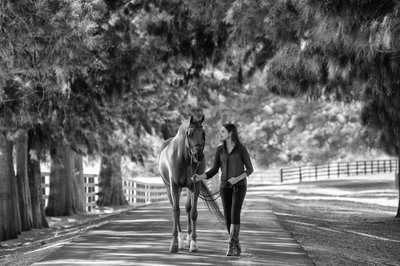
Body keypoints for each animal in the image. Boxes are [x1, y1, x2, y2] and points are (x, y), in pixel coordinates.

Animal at [158, 113, 225, 252]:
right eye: (190, 134)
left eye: (203, 133)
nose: (198, 156)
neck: (184, 158)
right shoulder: (174, 186)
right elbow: (176, 212)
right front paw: (174, 243)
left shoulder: (195, 186)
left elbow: (193, 213)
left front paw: (194, 243)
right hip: (169, 188)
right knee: (175, 209)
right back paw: (180, 240)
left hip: (188, 188)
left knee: (188, 208)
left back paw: (188, 240)